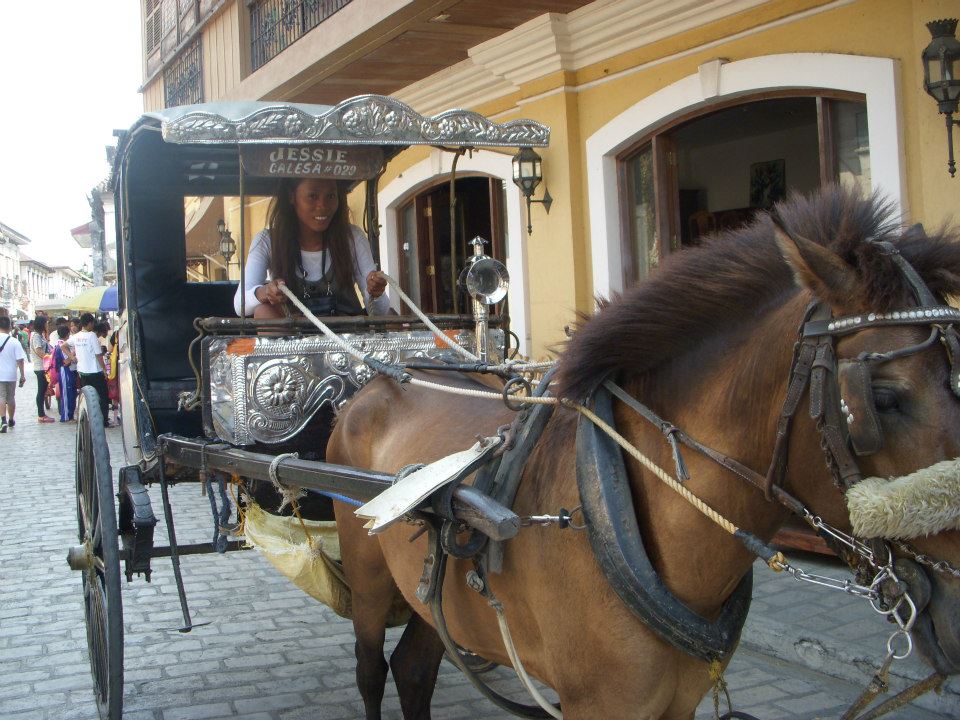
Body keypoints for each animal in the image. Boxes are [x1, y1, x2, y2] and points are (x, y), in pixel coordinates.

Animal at [326, 187, 960, 720]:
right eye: (882, 398)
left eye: (955, 374)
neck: (610, 508)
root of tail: (379, 381)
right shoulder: (598, 705)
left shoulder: (680, 702)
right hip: (367, 576)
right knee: (369, 669)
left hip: (434, 599)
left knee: (413, 669)